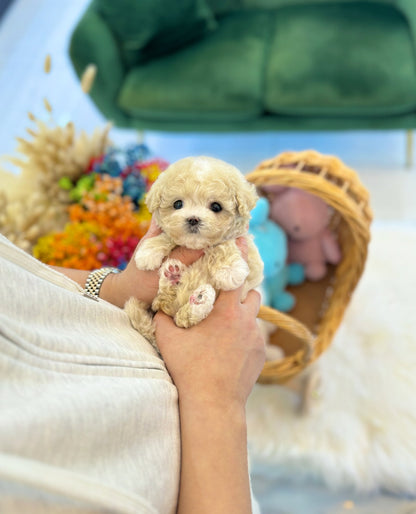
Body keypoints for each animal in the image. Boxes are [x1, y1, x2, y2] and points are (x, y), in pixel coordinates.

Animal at [125, 153, 264, 344]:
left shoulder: (244, 250)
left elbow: (224, 244)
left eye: (216, 206)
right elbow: (168, 237)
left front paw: (229, 270)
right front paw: (148, 252)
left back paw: (199, 299)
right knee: (170, 305)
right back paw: (173, 275)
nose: (193, 219)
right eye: (177, 204)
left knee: (184, 317)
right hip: (165, 303)